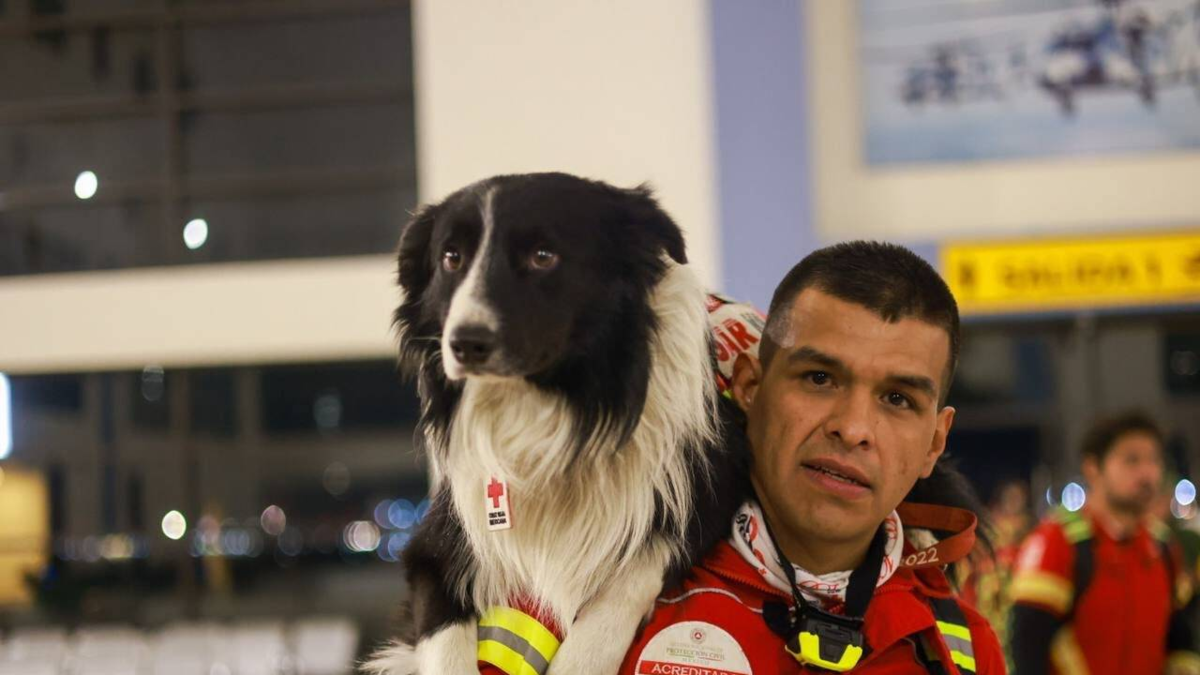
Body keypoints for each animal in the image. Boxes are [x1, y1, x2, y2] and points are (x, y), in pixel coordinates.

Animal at [365, 173, 749, 675]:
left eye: (543, 256)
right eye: (451, 258)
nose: (464, 343)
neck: (554, 412)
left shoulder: (709, 485)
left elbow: (633, 575)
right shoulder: (437, 544)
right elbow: (446, 643)